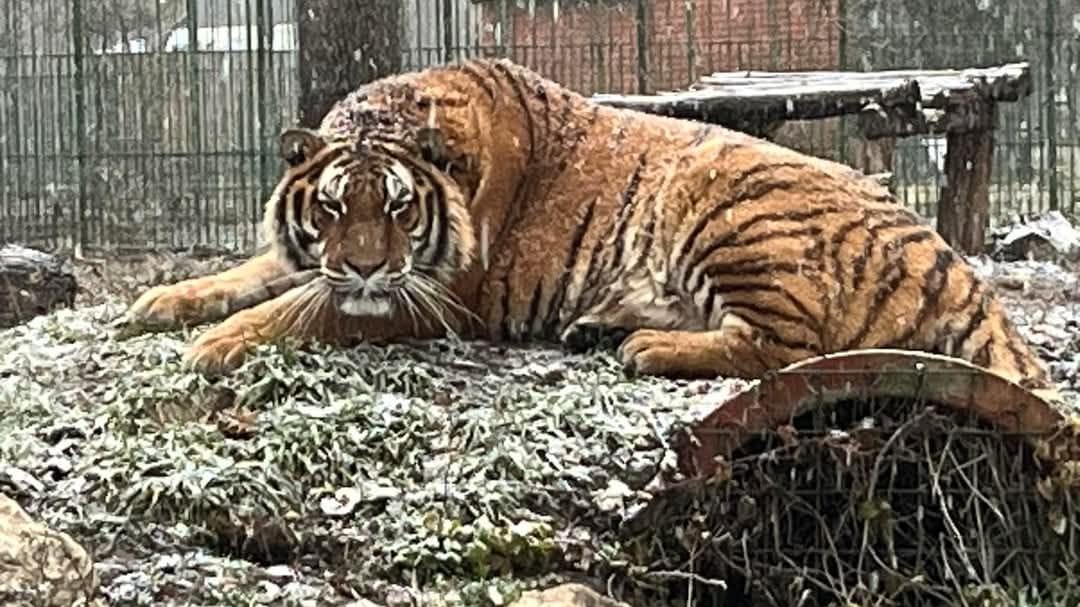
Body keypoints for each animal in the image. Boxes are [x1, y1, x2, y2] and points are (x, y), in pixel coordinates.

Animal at [124, 56, 1054, 401]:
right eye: (329, 208)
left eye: (397, 207)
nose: (360, 268)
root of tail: (954, 263)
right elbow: (251, 274)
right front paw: (160, 303)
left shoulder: (434, 298)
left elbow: (298, 309)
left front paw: (215, 344)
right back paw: (601, 326)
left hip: (727, 205)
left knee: (787, 349)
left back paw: (645, 346)